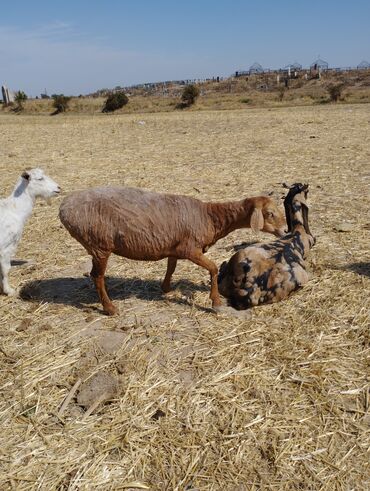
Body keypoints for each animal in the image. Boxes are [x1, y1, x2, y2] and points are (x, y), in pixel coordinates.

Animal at [0, 168, 60, 296]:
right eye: (40, 178)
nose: (58, 188)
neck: (14, 209)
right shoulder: (6, 247)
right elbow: (6, 269)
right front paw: (9, 291)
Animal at [58, 184, 286, 316]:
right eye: (270, 213)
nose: (285, 230)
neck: (211, 217)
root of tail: (64, 208)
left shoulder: (174, 248)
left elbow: (171, 268)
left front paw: (166, 288)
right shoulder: (189, 248)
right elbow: (213, 269)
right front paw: (216, 302)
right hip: (100, 245)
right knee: (97, 276)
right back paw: (110, 308)